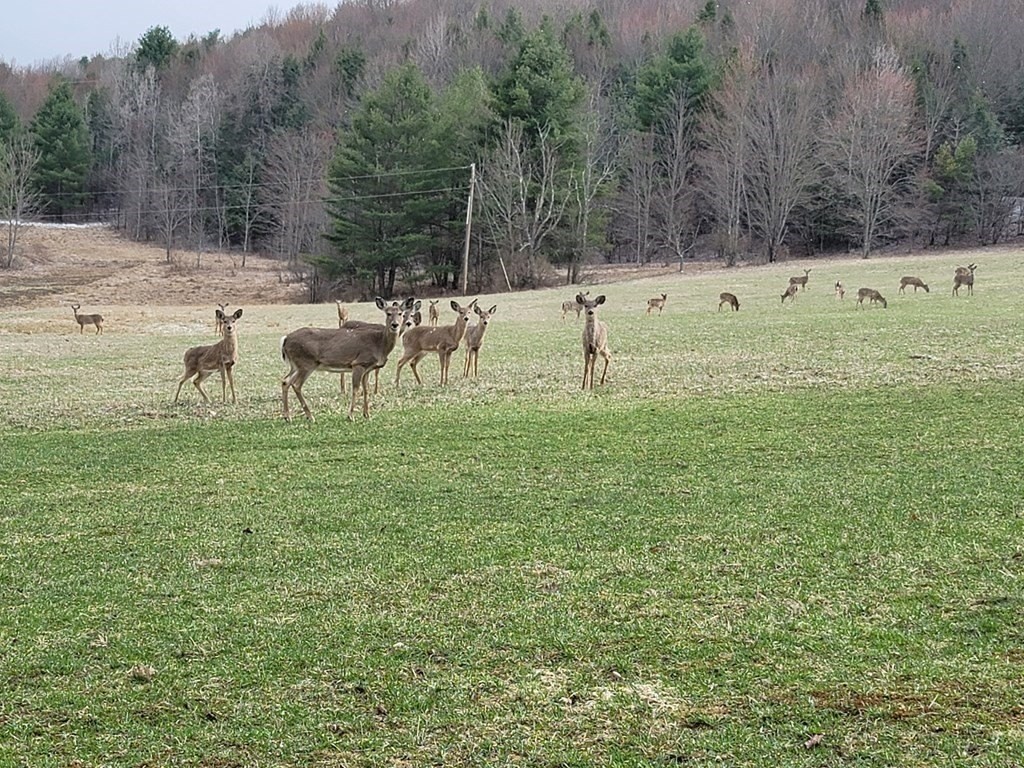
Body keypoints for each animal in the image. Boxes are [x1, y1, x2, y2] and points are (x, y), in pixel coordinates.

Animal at [280, 296, 415, 421]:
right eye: (388, 313)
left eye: (401, 313)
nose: (395, 324)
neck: (379, 344)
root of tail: (285, 339)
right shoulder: (359, 363)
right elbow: (355, 389)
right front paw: (351, 416)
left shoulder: (367, 368)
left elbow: (366, 389)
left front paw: (367, 414)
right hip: (306, 362)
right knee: (296, 384)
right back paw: (310, 416)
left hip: (295, 365)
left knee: (285, 381)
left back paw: (288, 417)